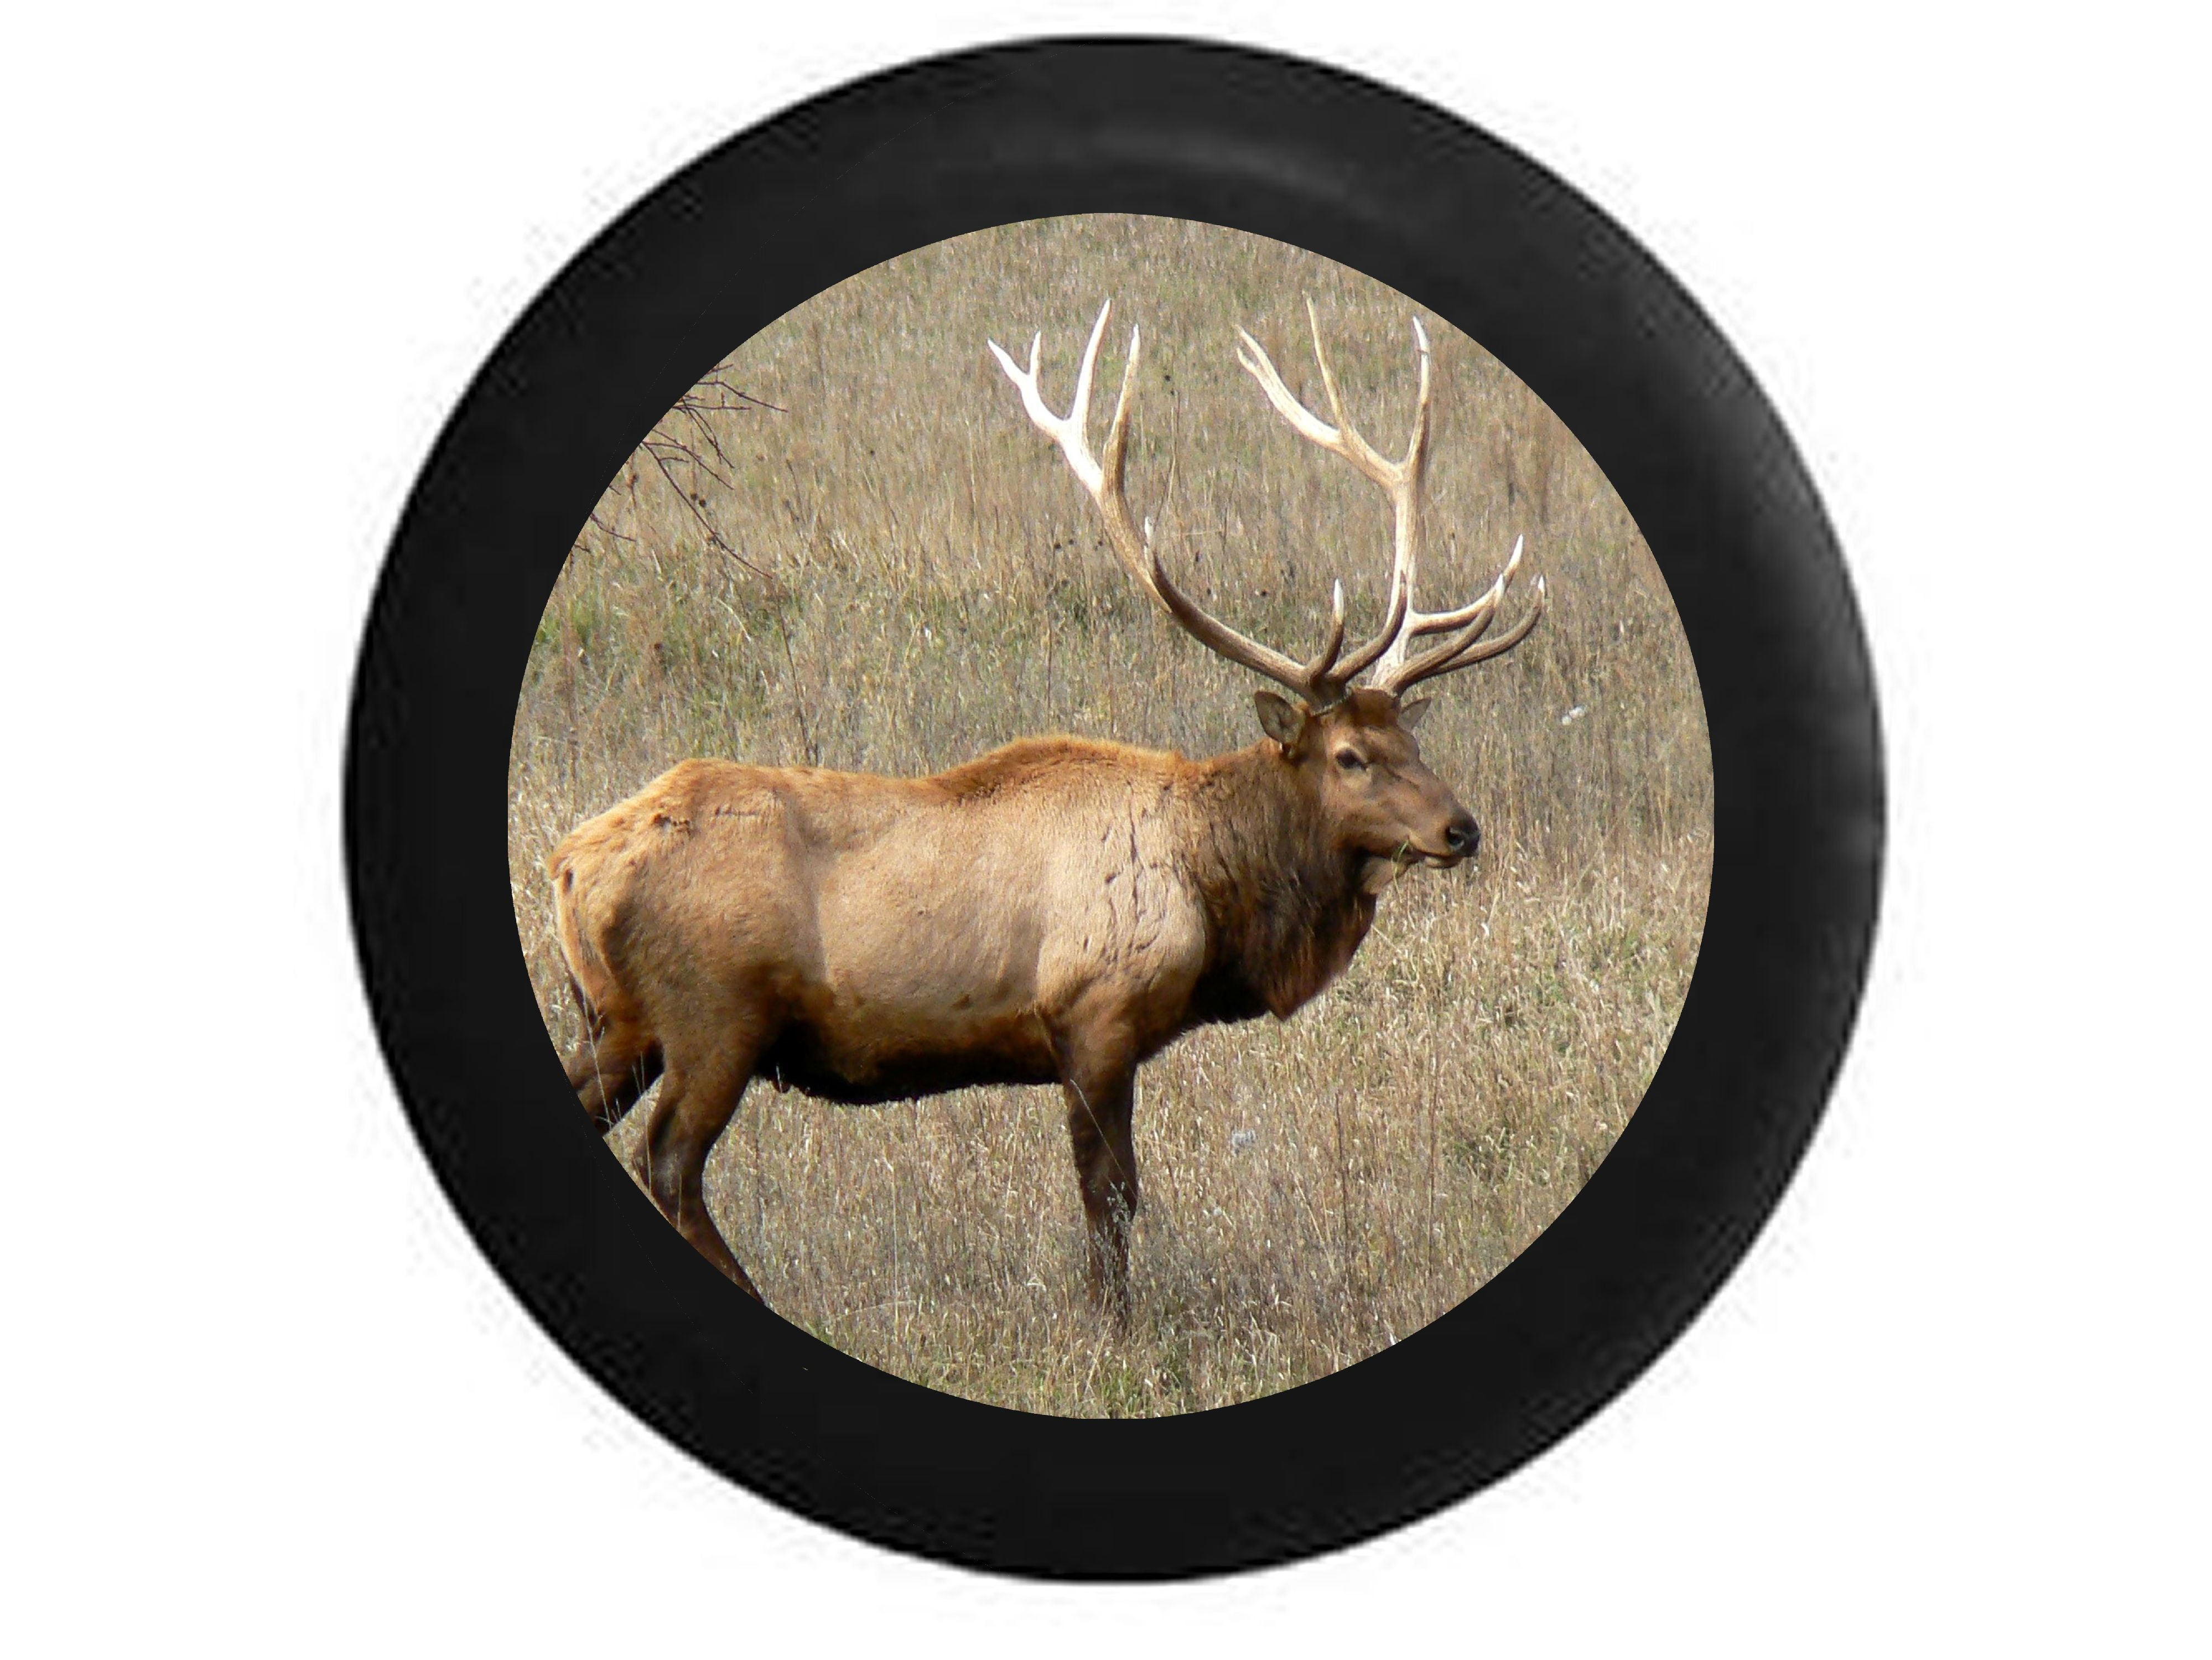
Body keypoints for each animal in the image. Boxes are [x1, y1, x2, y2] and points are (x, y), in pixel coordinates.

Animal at [548, 298, 1543, 1317]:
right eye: (1349, 757)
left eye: (1413, 744)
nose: (1460, 829)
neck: (1216, 894)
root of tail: (571, 863)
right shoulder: (1092, 1014)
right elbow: (1110, 1197)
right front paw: (1115, 1326)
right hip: (713, 1015)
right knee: (671, 1161)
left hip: (617, 1019)